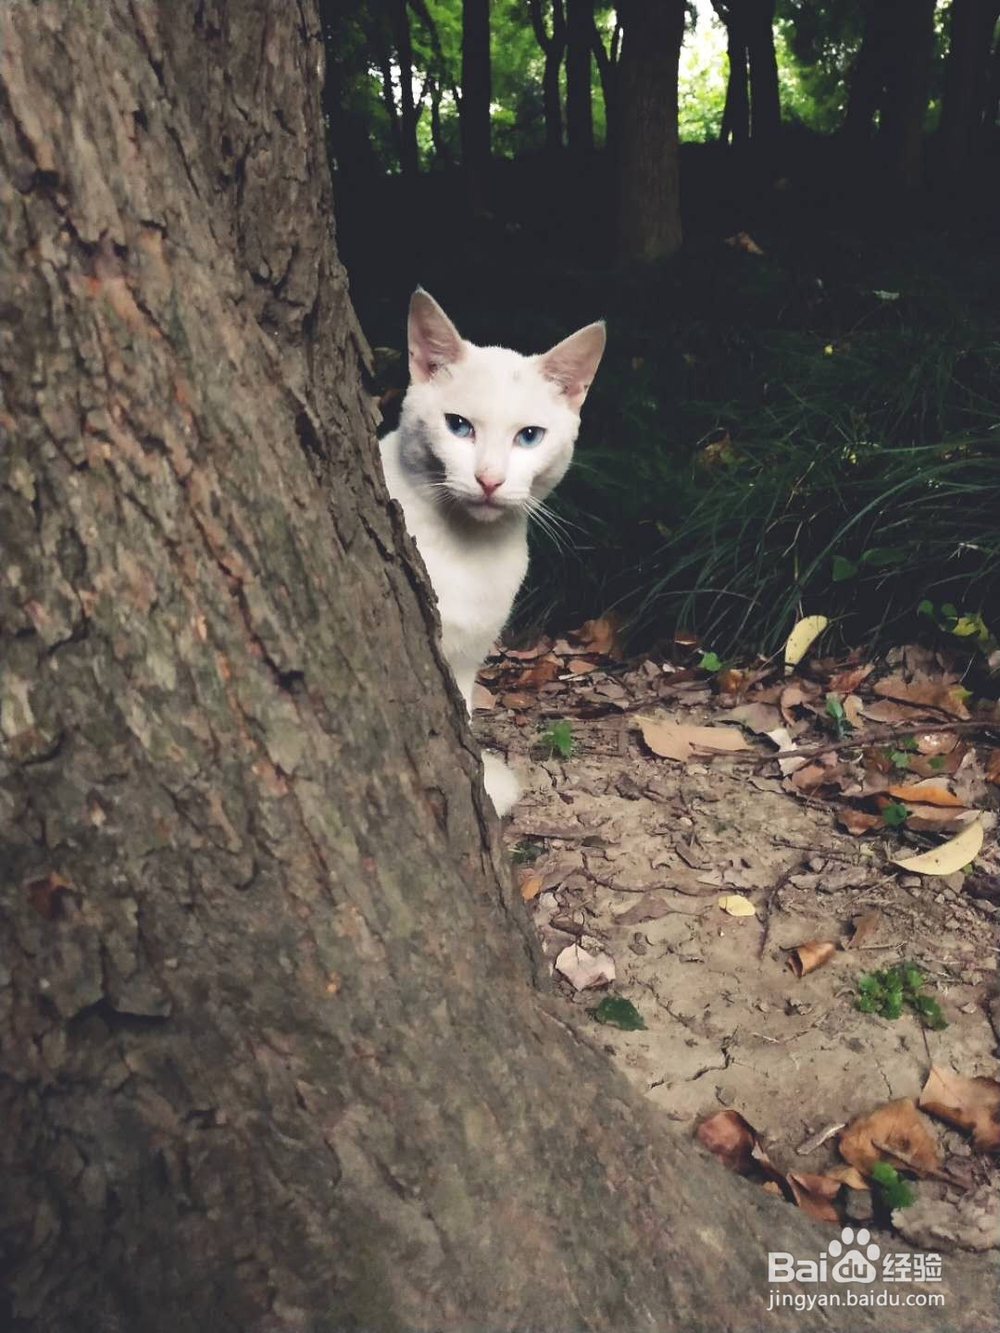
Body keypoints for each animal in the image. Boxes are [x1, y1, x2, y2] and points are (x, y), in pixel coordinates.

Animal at [379, 288, 605, 816]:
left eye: (529, 436)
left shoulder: (465, 660)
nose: (489, 479)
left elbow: (461, 716)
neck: (465, 546)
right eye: (459, 426)